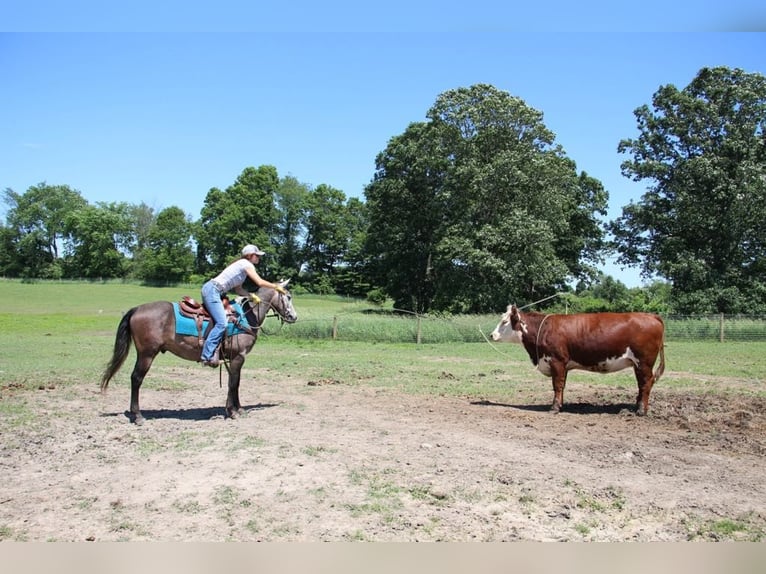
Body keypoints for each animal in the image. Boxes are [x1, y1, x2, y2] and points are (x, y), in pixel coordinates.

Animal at [492, 308, 664, 416]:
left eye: (504, 322)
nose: (492, 334)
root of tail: (651, 316)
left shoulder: (557, 361)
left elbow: (557, 385)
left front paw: (554, 408)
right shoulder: (564, 365)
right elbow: (562, 385)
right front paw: (560, 405)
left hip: (644, 362)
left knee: (646, 383)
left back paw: (641, 411)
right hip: (638, 364)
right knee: (642, 385)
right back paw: (637, 407)